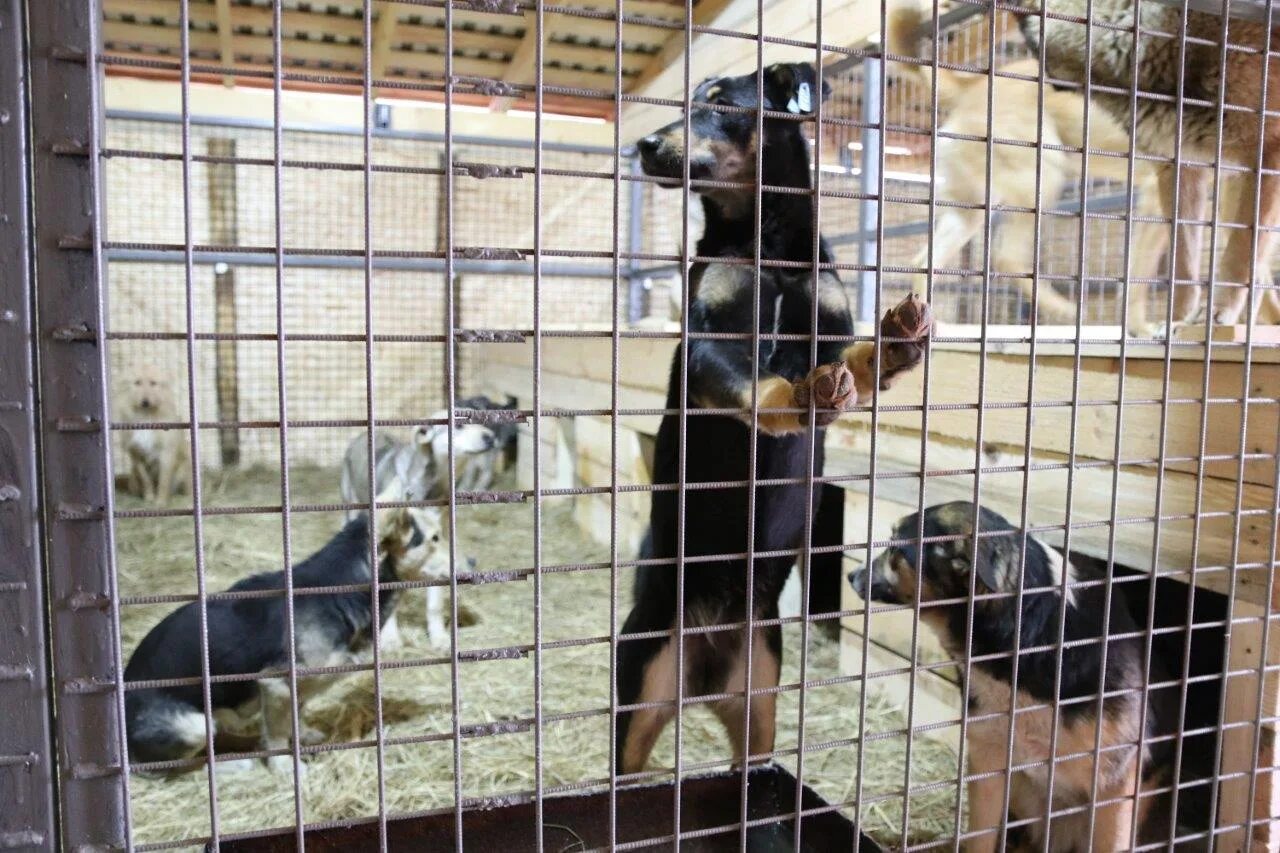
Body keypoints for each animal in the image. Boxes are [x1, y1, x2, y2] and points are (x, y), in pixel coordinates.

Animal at [120, 499, 450, 768]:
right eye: (435, 538)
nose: (465, 565)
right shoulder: (275, 683)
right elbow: (279, 735)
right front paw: (286, 769)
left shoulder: (300, 685)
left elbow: (298, 713)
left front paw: (303, 736)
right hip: (194, 727)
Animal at [122, 366, 188, 504]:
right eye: (137, 383)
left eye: (153, 383)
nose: (145, 402)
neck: (146, 417)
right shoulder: (136, 454)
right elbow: (146, 480)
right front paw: (149, 498)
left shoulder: (166, 452)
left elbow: (164, 481)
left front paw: (161, 502)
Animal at [614, 63, 936, 773]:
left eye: (722, 105)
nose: (643, 147)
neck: (769, 241)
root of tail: (703, 668)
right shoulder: (708, 344)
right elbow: (756, 385)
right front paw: (796, 399)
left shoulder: (831, 330)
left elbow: (860, 362)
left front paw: (894, 342)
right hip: (640, 680)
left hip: (760, 692)